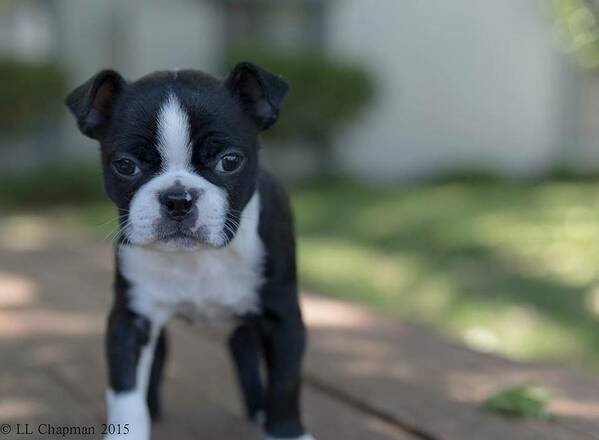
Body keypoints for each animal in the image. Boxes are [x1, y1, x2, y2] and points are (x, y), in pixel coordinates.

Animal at [65, 62, 314, 440]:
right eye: (125, 165)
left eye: (229, 161)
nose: (178, 199)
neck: (197, 258)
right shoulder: (131, 319)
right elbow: (124, 389)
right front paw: (129, 430)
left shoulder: (281, 317)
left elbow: (286, 382)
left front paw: (287, 432)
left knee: (244, 351)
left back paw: (259, 408)